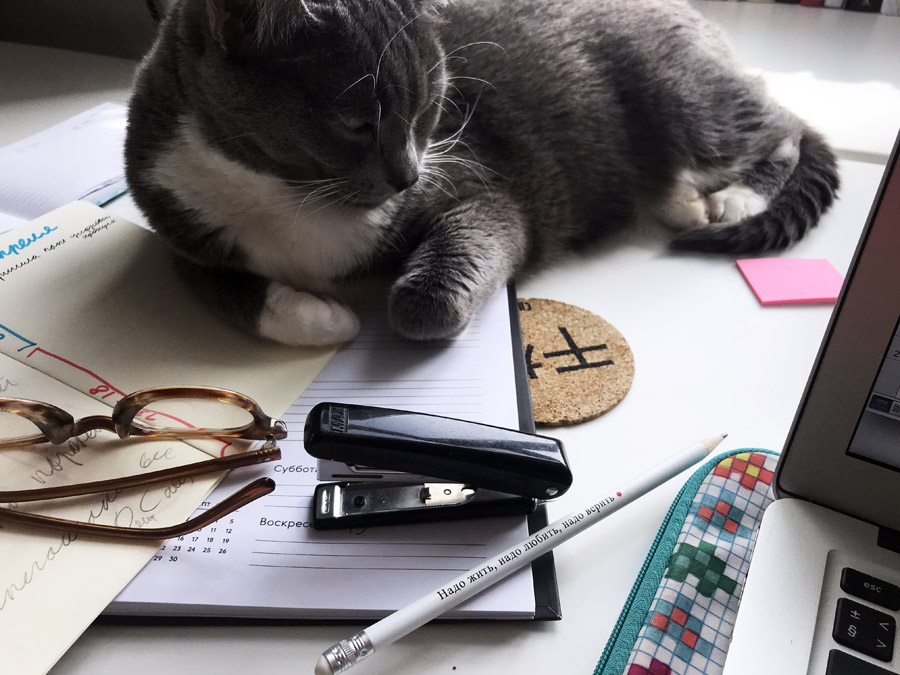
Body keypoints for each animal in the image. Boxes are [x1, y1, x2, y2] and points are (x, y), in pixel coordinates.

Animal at [125, 0, 839, 347]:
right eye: (356, 123)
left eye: (430, 108)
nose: (407, 178)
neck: (289, 199)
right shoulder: (179, 226)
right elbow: (217, 286)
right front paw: (325, 320)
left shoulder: (483, 187)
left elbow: (431, 292)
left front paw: (369, 316)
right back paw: (683, 199)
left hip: (680, 93)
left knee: (782, 125)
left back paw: (735, 198)